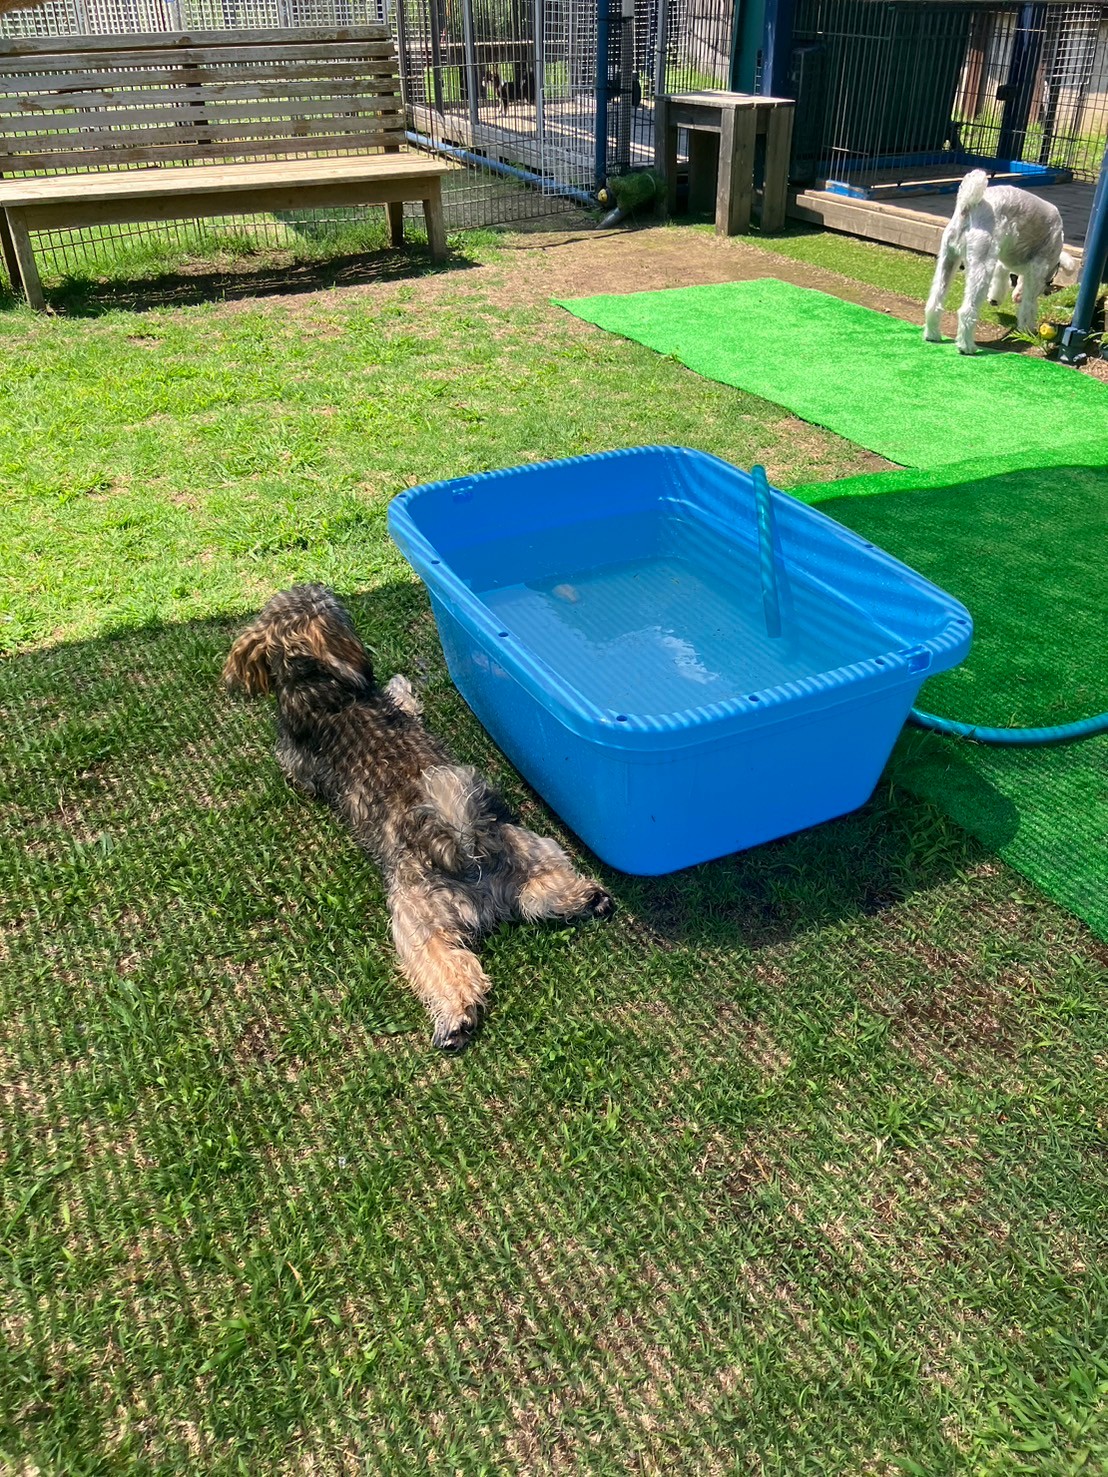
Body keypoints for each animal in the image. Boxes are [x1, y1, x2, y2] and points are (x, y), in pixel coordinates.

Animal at [223, 585, 614, 1050]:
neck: (316, 681)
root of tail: (464, 849)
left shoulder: (302, 757)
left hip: (415, 923)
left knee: (448, 969)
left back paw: (455, 1019)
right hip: (529, 853)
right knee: (538, 898)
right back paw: (587, 900)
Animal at [924, 169, 1077, 355]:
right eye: (1049, 282)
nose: (1016, 297)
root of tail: (968, 205)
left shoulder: (1001, 261)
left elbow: (1001, 279)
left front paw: (996, 297)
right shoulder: (1037, 270)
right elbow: (1029, 304)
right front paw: (1027, 328)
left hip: (948, 259)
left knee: (935, 301)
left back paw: (932, 334)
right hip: (981, 266)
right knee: (967, 311)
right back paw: (967, 346)